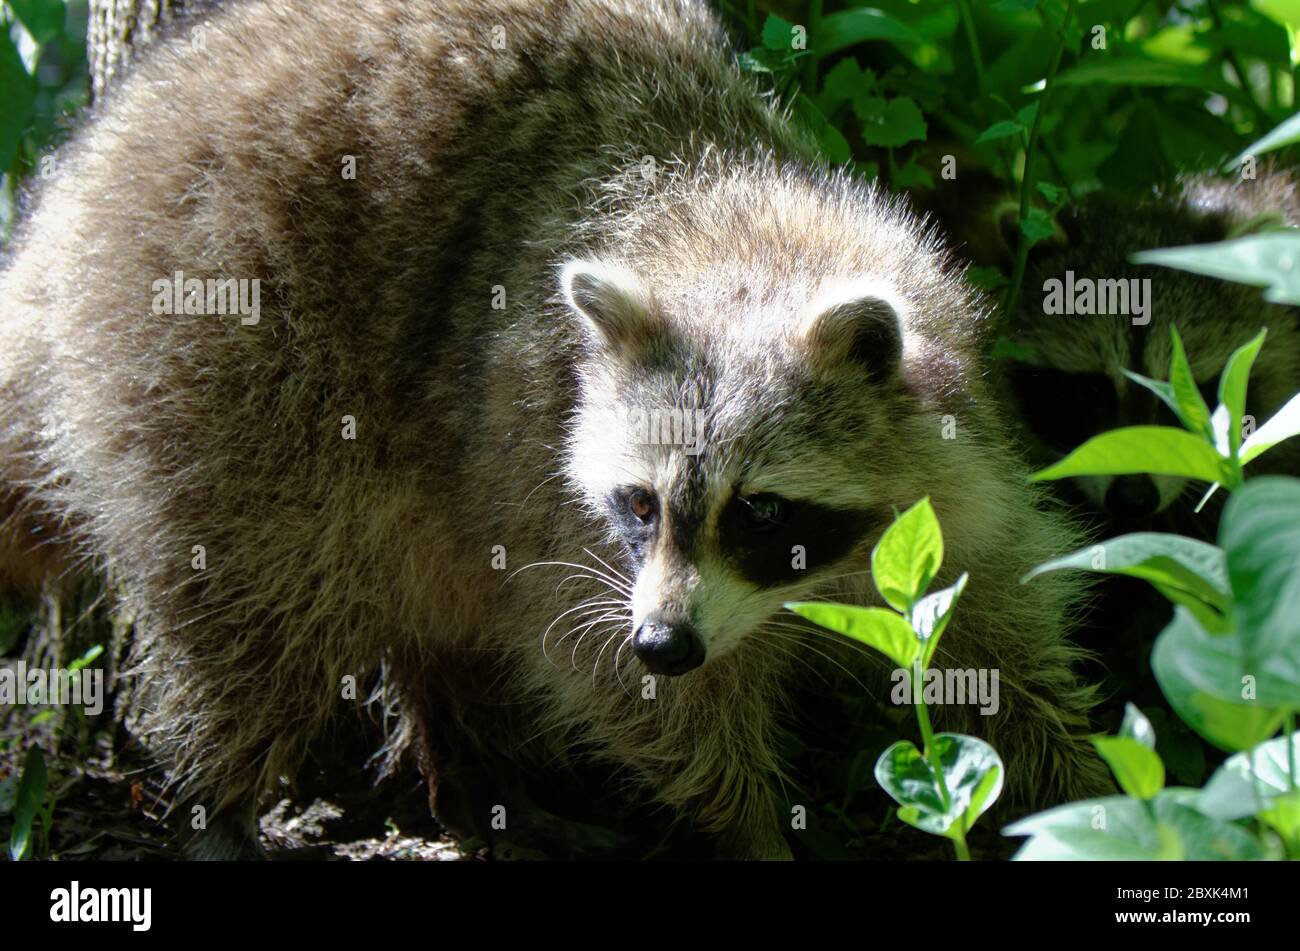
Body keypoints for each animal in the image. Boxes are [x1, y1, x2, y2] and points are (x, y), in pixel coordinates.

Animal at [2, 0, 1107, 862]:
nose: (665, 641)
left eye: (761, 511)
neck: (756, 250)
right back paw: (228, 797)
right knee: (258, 601)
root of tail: (65, 206)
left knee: (433, 595)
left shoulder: (950, 467)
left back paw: (473, 776)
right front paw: (749, 824)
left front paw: (1087, 779)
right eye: (640, 503)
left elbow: (998, 614)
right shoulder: (547, 468)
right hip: (217, 354)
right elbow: (609, 675)